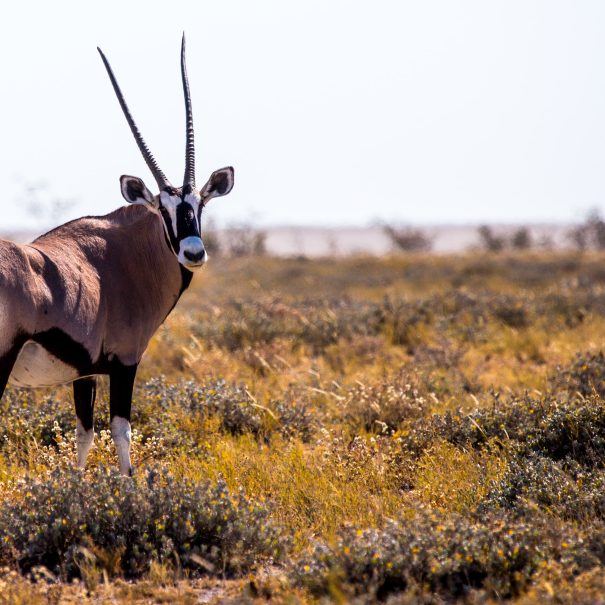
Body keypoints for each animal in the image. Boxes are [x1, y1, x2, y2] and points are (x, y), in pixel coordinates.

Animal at [0, 35, 234, 474]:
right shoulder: (126, 361)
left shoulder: (84, 373)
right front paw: (128, 484)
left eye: (200, 204)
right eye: (162, 209)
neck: (121, 258)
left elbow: (84, 435)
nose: (193, 252)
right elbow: (121, 432)